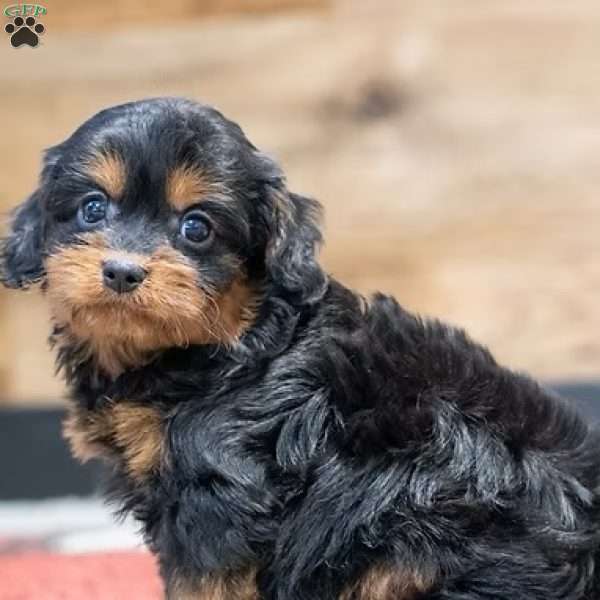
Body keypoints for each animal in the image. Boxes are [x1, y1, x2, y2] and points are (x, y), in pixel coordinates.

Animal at [1, 96, 600, 596]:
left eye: (197, 228)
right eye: (92, 208)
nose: (123, 271)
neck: (221, 342)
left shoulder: (221, 494)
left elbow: (203, 584)